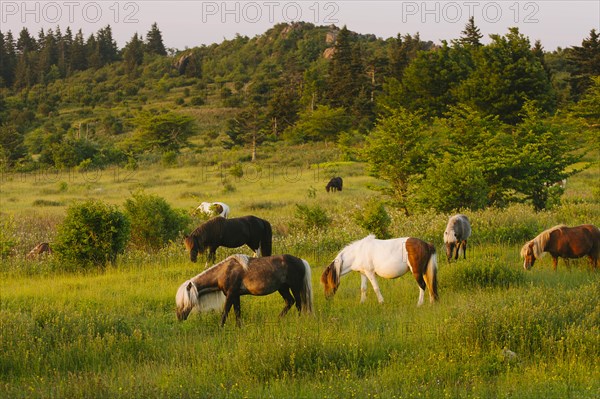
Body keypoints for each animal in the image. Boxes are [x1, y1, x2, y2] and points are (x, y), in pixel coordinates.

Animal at [175, 255, 312, 326]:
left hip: (294, 287)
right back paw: (278, 320)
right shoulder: (236, 295)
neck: (224, 271)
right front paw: (238, 327)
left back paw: (298, 320)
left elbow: (225, 312)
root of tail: (301, 260)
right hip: (282, 288)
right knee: (290, 302)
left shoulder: (230, 295)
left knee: (299, 304)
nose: (179, 317)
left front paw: (221, 327)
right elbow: (237, 312)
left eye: (184, 302)